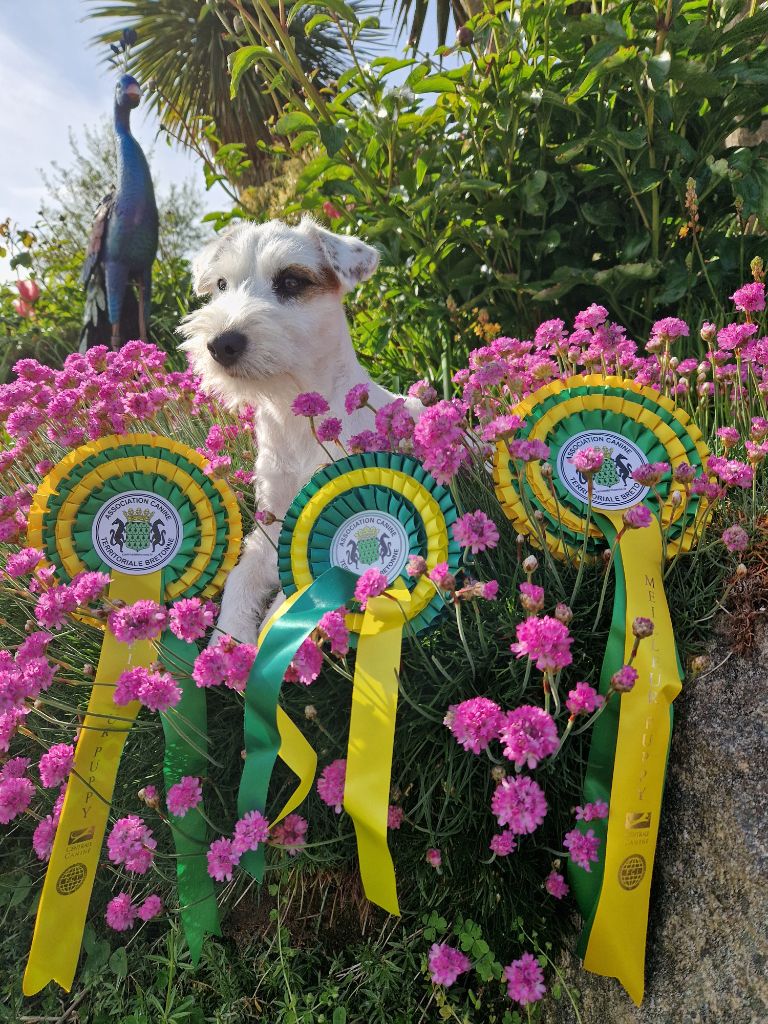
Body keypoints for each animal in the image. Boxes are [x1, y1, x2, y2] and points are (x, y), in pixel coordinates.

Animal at [178, 219, 423, 643]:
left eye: (291, 281)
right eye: (222, 285)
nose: (221, 344)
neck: (294, 416)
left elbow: (292, 591)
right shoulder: (269, 529)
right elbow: (240, 578)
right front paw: (229, 638)